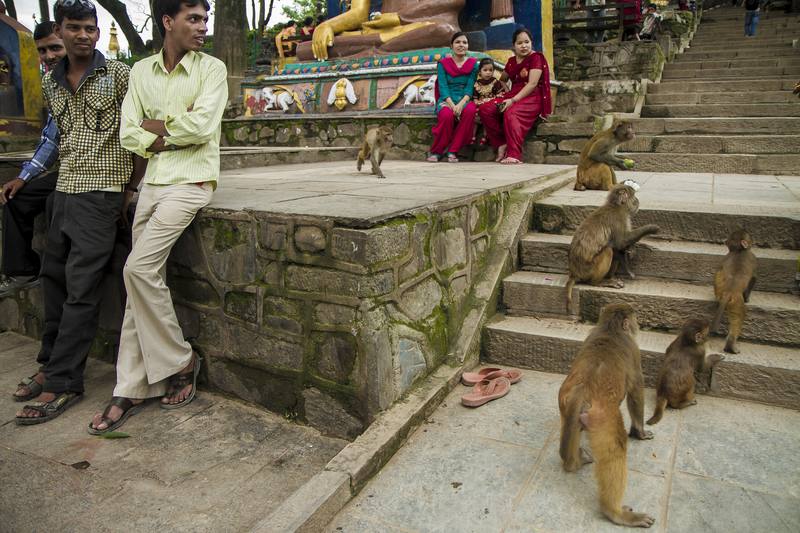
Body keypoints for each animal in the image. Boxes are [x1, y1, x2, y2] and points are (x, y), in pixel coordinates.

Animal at [558, 303, 655, 529]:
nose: (638, 326)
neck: (610, 329)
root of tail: (583, 390)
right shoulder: (634, 350)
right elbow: (636, 390)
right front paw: (640, 432)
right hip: (603, 419)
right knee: (615, 451)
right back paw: (615, 513)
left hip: (566, 406)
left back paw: (574, 462)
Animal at [564, 184, 660, 312]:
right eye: (634, 195)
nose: (638, 200)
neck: (617, 206)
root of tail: (574, 272)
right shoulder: (620, 218)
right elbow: (621, 242)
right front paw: (650, 228)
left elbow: (619, 245)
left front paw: (632, 249)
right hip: (588, 269)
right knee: (608, 250)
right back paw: (598, 282)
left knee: (613, 250)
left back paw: (610, 276)